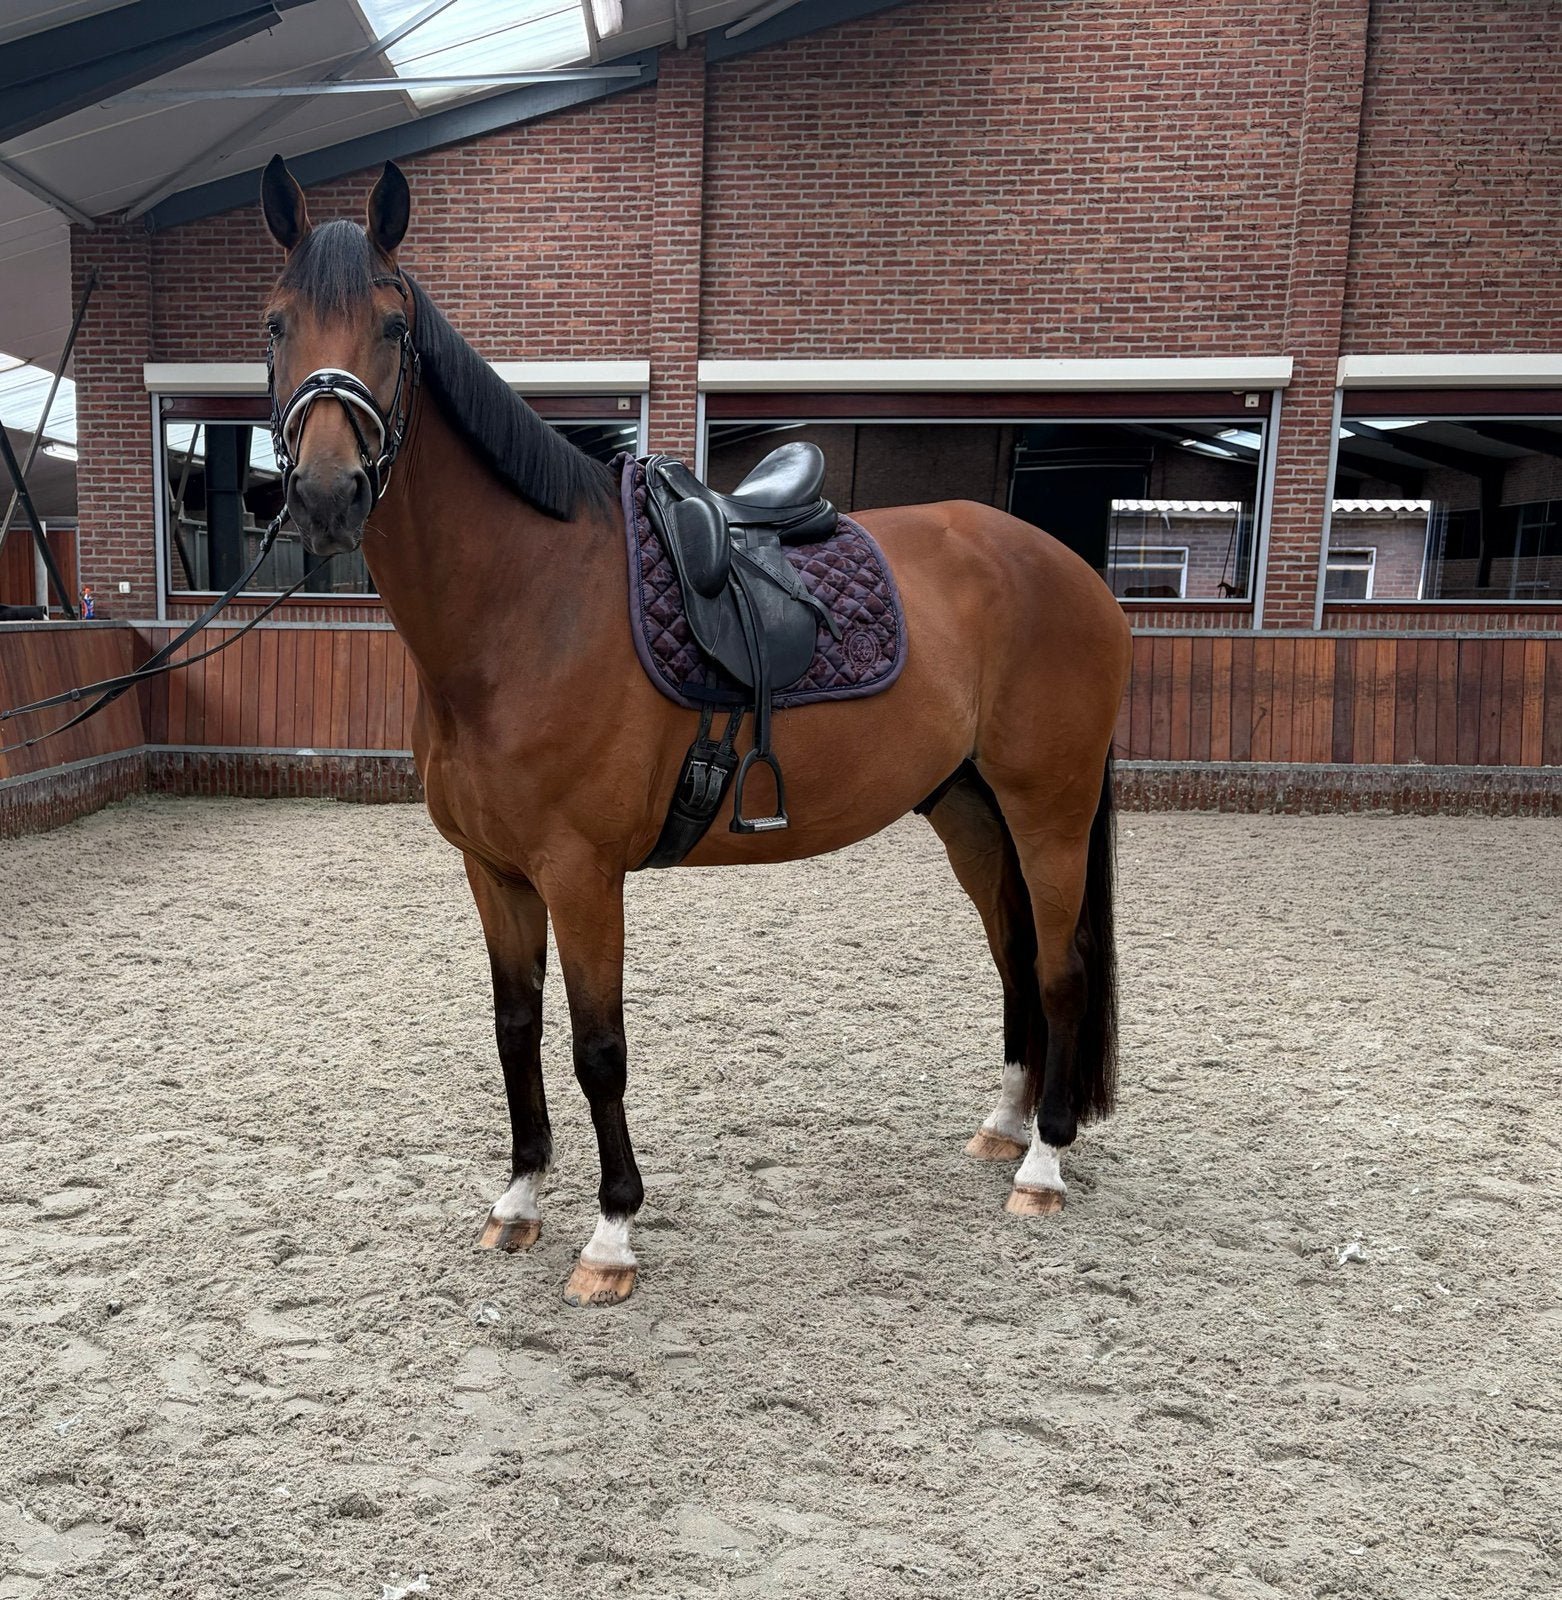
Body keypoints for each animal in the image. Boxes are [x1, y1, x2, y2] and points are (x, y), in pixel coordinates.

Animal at [257, 156, 1131, 1307]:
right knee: (1016, 957)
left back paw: (1044, 1162)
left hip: (1048, 810)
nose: (325, 492)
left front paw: (612, 1233)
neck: (525, 606)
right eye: (274, 324)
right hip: (970, 814)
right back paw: (1004, 1127)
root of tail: (1071, 571)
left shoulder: (581, 873)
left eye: (394, 328)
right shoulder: (494, 871)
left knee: (1063, 966)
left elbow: (598, 1047)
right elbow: (514, 1029)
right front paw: (519, 1200)